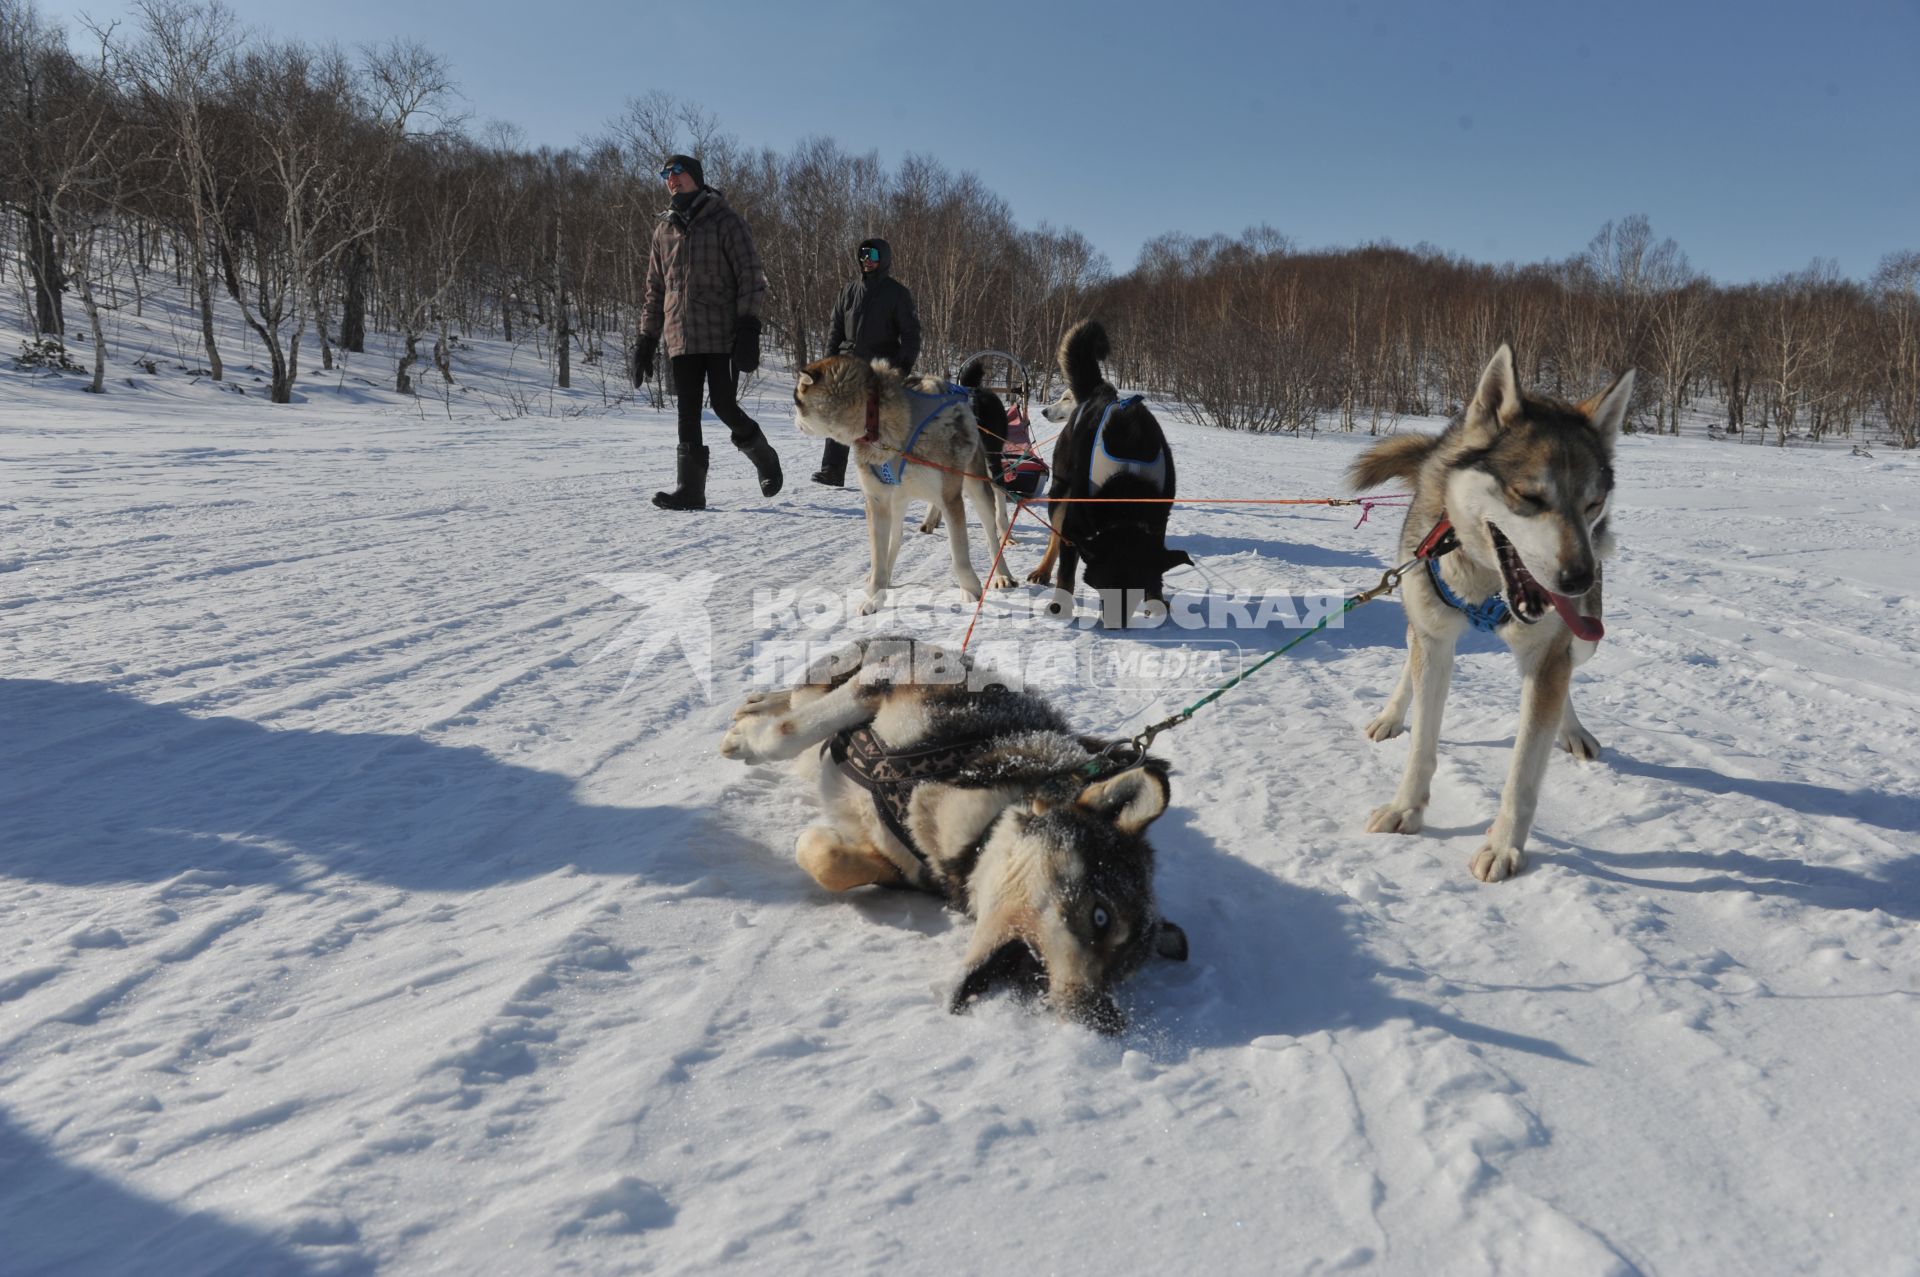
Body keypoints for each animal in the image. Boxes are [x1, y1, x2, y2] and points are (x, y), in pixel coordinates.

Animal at [721, 633, 1182, 1029]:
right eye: (1101, 917)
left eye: (1121, 972)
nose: (1108, 1020)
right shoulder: (888, 682)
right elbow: (787, 733)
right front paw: (750, 740)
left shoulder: (911, 867)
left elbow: (830, 861)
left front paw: (824, 842)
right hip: (866, 666)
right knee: (800, 698)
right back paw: (756, 708)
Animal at [791, 355, 1013, 614]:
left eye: (796, 400)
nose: (794, 420)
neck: (876, 420)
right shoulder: (877, 501)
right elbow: (878, 558)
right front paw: (874, 597)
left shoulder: (950, 499)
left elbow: (959, 554)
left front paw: (970, 590)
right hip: (896, 501)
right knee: (895, 539)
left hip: (977, 489)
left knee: (992, 535)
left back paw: (1002, 574)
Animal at [1351, 343, 1635, 883]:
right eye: (1529, 496)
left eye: (1594, 504)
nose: (1579, 579)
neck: (1488, 586)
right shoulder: (1436, 639)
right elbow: (1423, 743)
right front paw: (1405, 808)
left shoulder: (1549, 655)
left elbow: (1524, 771)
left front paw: (1504, 846)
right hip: (1420, 609)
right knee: (1409, 654)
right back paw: (1392, 714)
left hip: (1585, 635)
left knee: (1568, 670)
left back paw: (1572, 730)